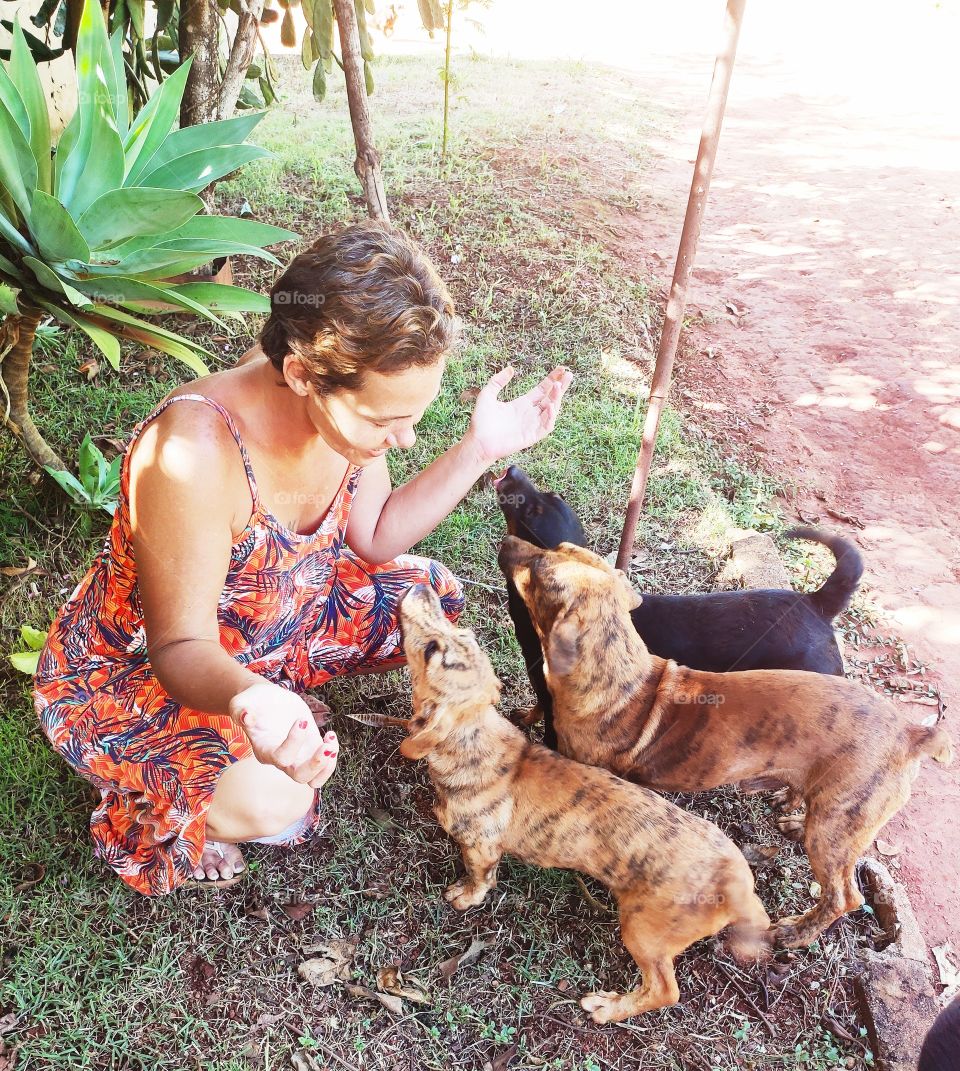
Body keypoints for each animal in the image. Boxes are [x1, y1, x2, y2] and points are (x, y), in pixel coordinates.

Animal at [394, 582, 767, 1023]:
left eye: (433, 650)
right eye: (459, 634)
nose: (421, 586)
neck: (474, 740)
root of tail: (736, 881)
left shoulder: (481, 849)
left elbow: (479, 879)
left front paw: (464, 897)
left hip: (643, 932)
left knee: (664, 990)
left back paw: (607, 1007)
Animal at [494, 464, 861, 749]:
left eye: (531, 513)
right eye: (551, 494)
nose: (511, 470)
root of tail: (818, 603)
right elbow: (536, 708)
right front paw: (524, 716)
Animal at [499, 539, 955, 951]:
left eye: (540, 571)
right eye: (558, 547)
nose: (507, 541)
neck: (620, 675)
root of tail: (911, 733)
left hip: (836, 832)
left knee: (844, 896)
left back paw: (796, 932)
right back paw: (793, 817)